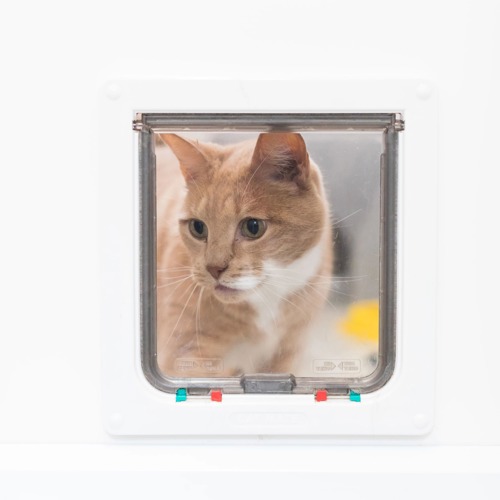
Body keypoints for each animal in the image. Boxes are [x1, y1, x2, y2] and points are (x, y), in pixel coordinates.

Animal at [155, 131, 332, 376]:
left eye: (253, 227)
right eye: (198, 228)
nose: (214, 268)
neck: (267, 299)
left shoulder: (287, 353)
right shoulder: (183, 353)